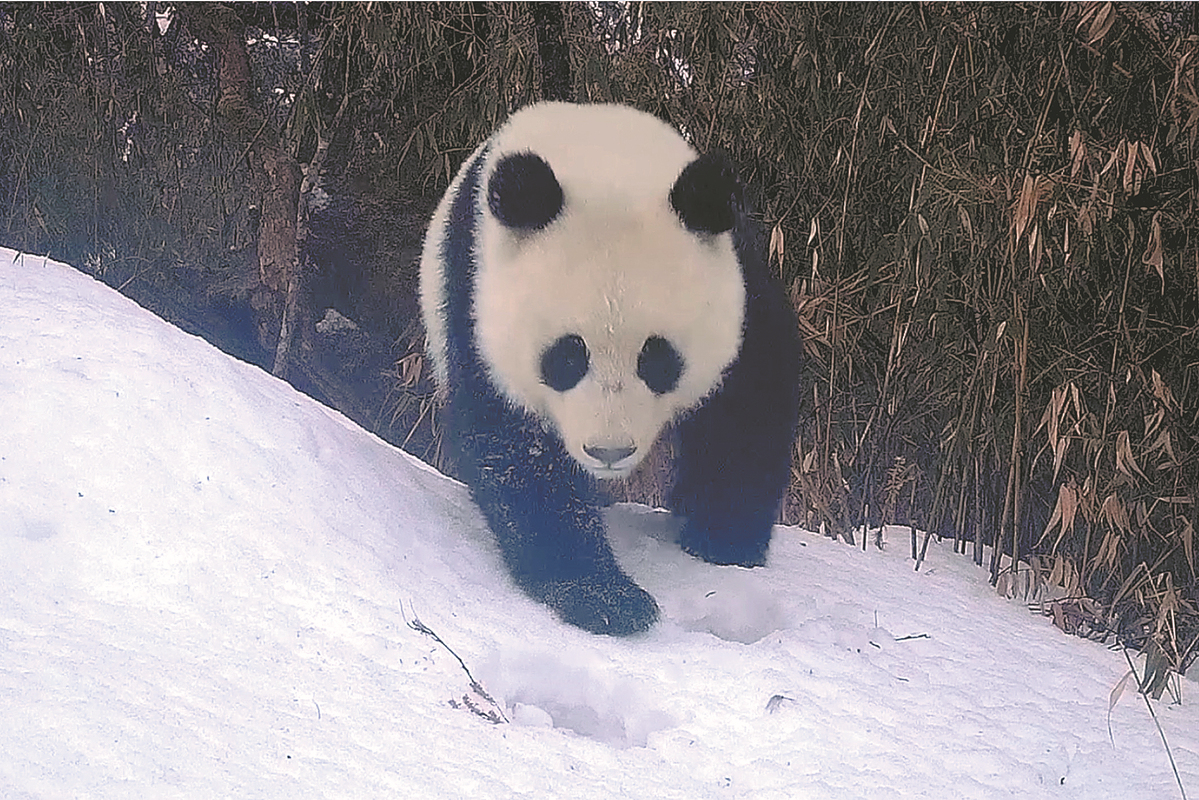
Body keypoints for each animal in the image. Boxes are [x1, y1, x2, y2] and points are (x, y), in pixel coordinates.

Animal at [417, 101, 800, 638]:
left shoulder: (740, 282)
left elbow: (749, 403)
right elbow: (512, 446)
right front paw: (606, 599)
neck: (605, 157)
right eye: (566, 357)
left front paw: (724, 542)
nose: (609, 452)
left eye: (658, 359)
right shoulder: (475, 297)